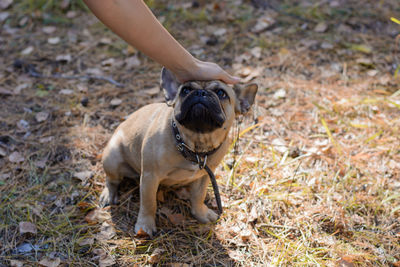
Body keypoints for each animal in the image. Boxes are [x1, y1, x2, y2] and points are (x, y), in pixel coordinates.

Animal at [99, 68, 256, 238]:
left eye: (221, 93)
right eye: (185, 90)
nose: (200, 92)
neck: (194, 145)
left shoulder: (205, 175)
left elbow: (198, 196)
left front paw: (200, 213)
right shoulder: (149, 177)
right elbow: (148, 203)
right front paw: (145, 225)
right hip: (112, 158)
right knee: (111, 180)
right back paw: (108, 195)